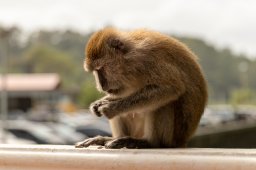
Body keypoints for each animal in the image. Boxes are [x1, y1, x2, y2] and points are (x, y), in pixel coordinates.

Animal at [75, 27, 207, 149]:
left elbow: (172, 87)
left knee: (164, 103)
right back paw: (112, 139)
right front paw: (100, 102)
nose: (102, 85)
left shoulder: (145, 59)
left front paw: (112, 107)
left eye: (101, 69)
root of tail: (181, 142)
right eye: (96, 71)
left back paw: (148, 142)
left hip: (171, 138)